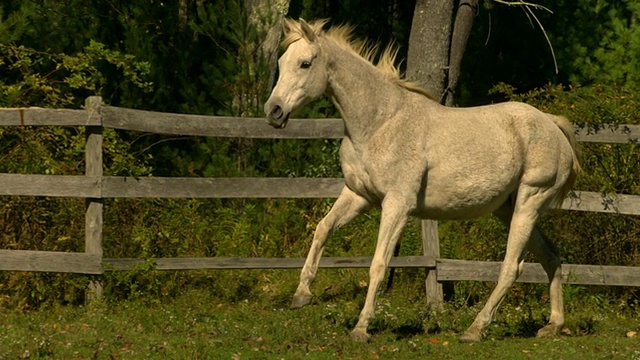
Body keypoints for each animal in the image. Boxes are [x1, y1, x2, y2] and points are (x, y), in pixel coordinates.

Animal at [264, 19, 580, 344]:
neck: (380, 122)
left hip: (529, 203)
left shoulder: (397, 204)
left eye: (305, 63)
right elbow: (322, 229)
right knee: (551, 256)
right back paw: (552, 325)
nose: (273, 111)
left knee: (511, 268)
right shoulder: (358, 195)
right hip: (508, 208)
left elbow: (378, 263)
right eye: (281, 62)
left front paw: (361, 328)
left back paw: (474, 329)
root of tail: (552, 125)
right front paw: (302, 294)